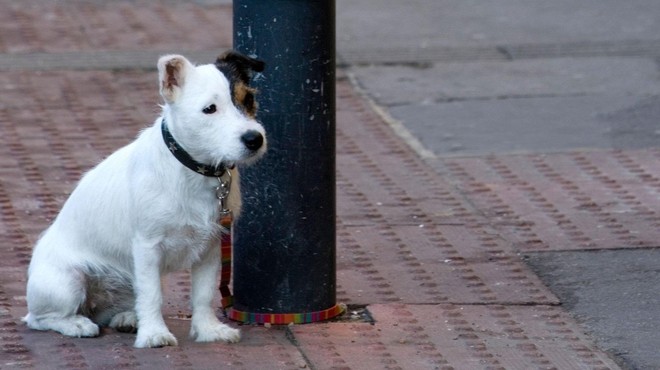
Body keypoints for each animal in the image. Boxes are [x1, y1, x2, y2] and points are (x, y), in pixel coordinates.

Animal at [23, 50, 266, 348]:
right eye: (210, 109)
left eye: (248, 99)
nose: (254, 139)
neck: (194, 170)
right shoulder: (148, 246)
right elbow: (152, 295)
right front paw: (154, 334)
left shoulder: (210, 248)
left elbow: (204, 294)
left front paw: (208, 330)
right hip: (66, 281)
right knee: (41, 318)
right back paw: (77, 324)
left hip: (125, 282)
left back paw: (127, 318)